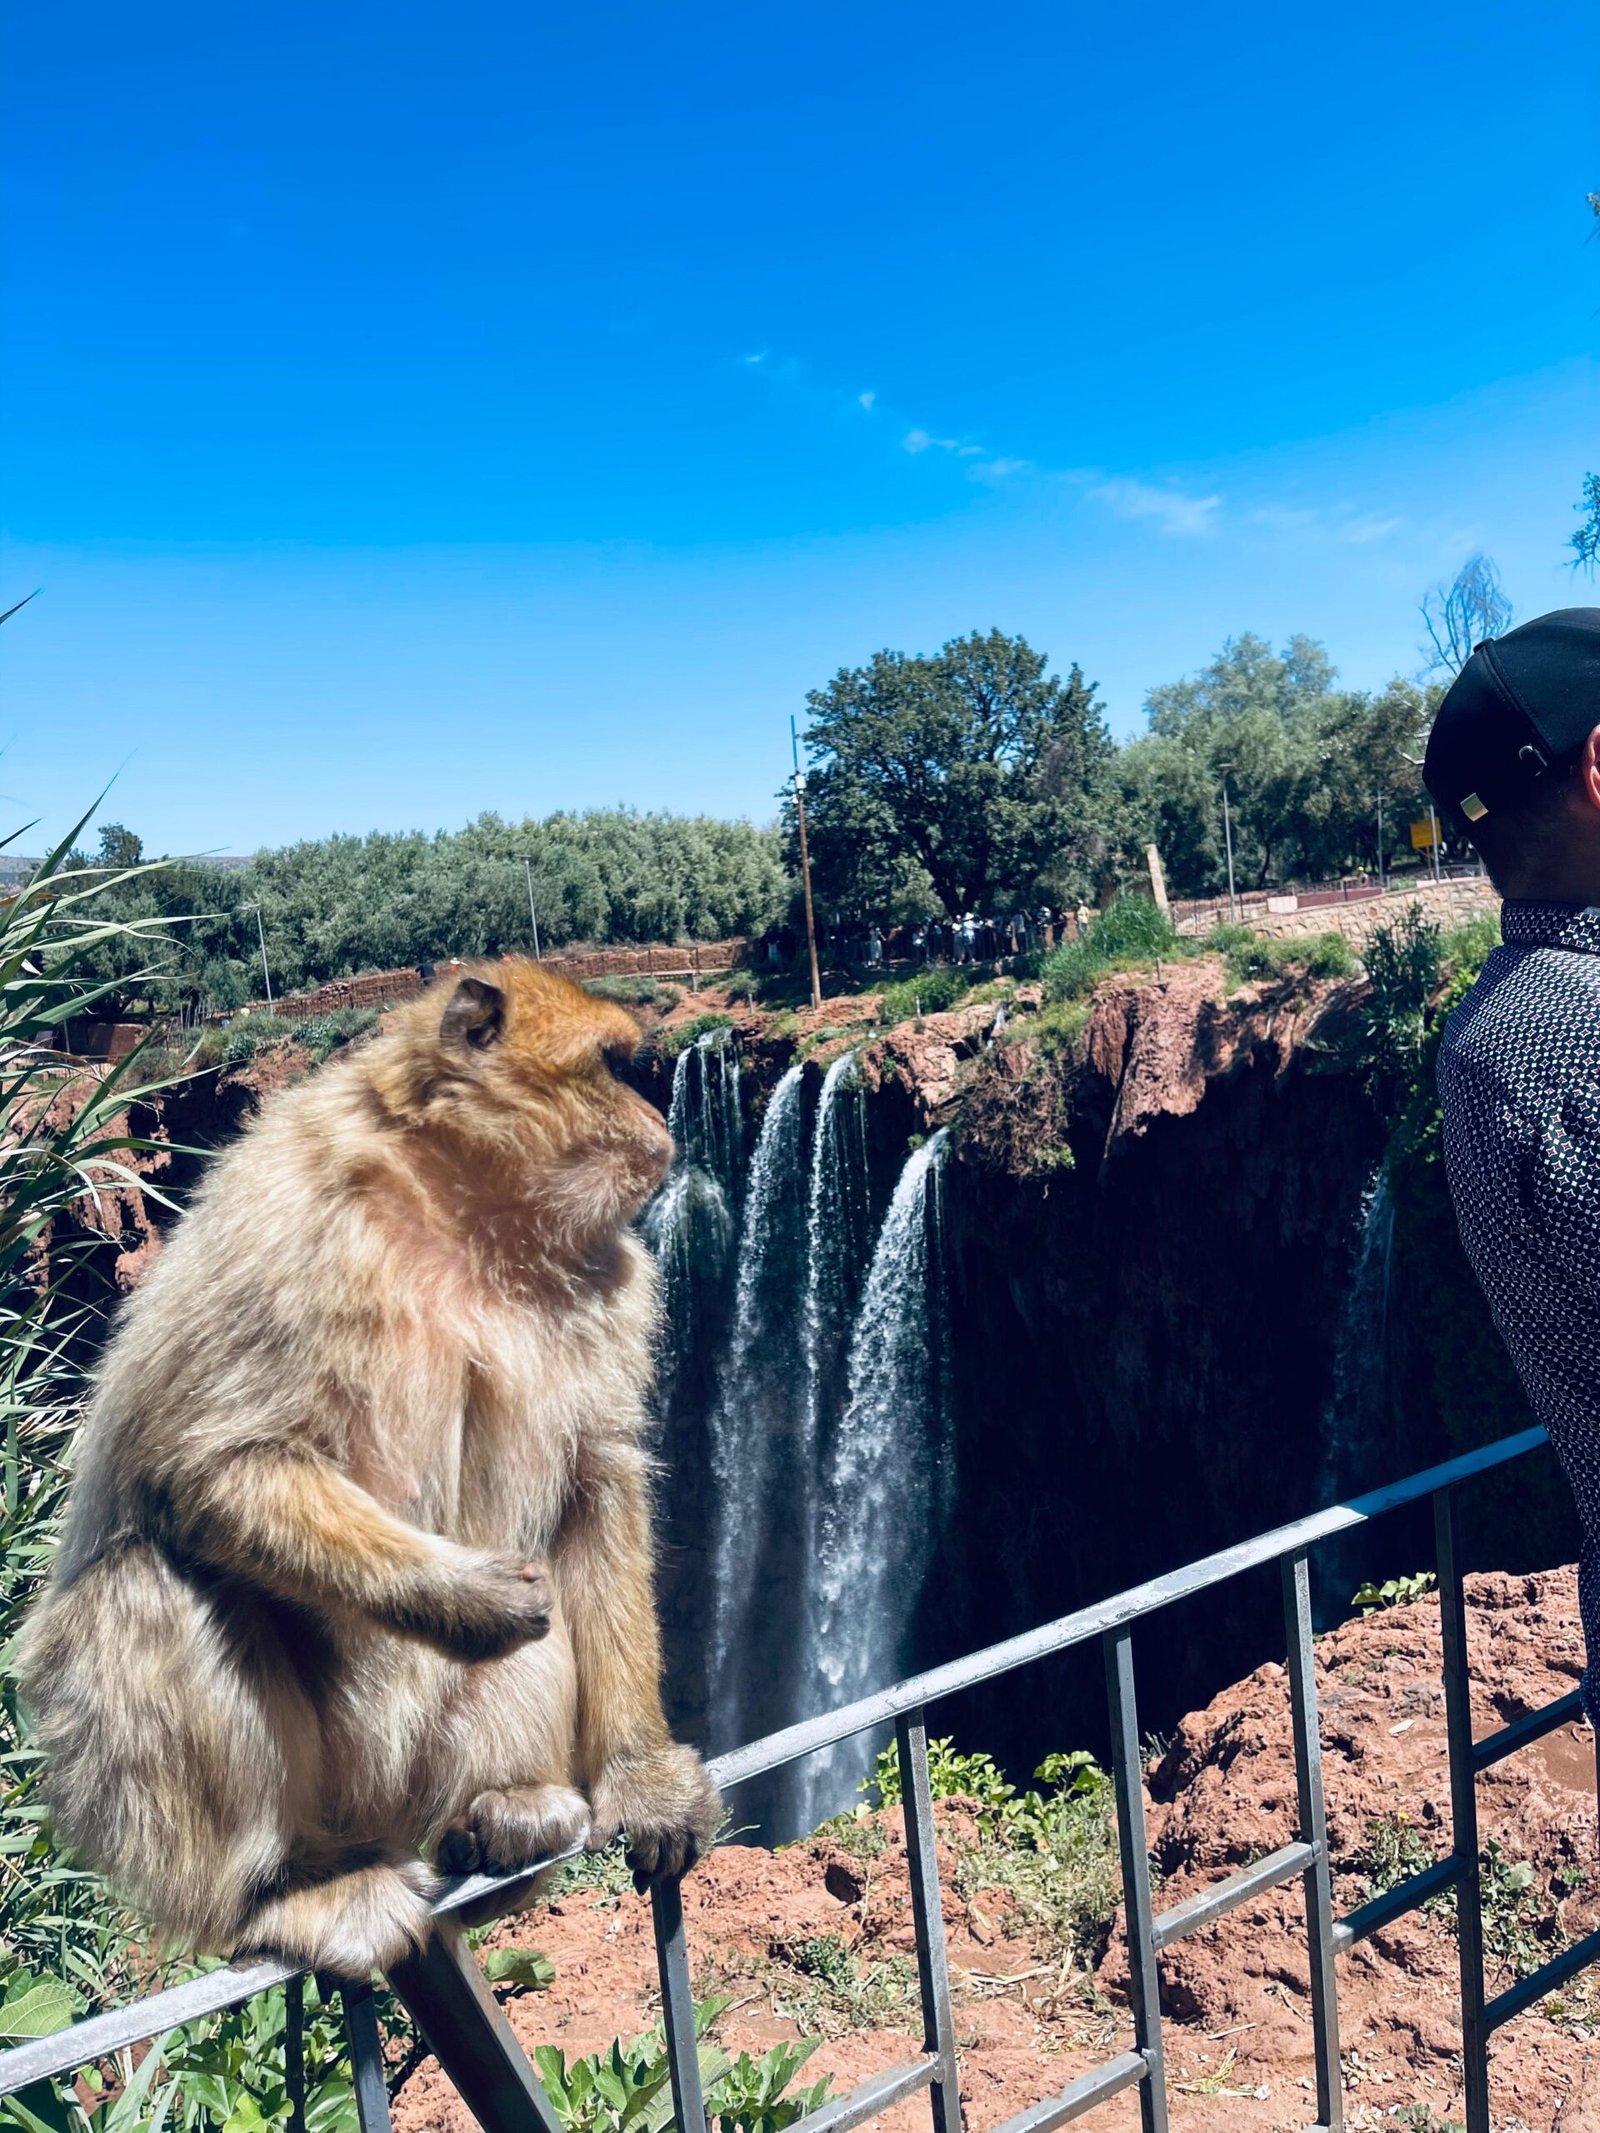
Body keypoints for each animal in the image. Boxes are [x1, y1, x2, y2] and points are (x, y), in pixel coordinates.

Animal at [19, 961, 722, 1978]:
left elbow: (597, 1486)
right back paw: (281, 1889)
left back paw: (506, 1813)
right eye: (614, 1066)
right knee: (148, 1579)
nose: (659, 1118)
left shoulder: (610, 1278)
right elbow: (204, 1464)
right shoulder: (294, 1214)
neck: (464, 1215)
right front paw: (463, 1593)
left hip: (419, 1770)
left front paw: (642, 1773)